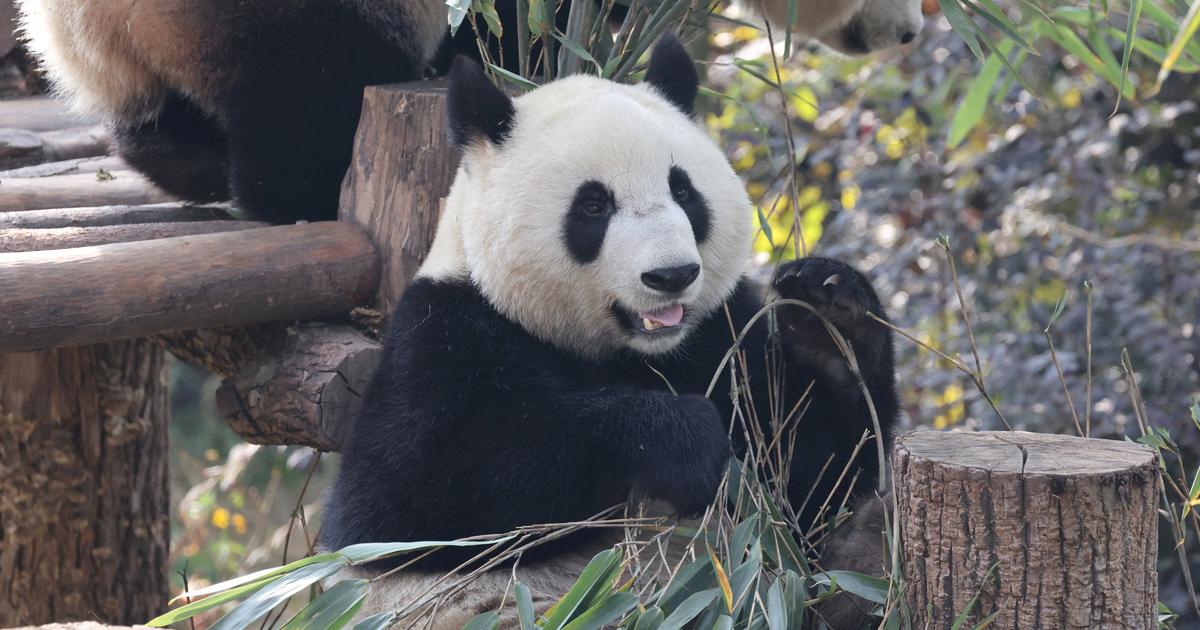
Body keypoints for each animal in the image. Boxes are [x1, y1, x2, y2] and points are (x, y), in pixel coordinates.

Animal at [319, 34, 900, 629]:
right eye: (593, 206)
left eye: (684, 192)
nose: (672, 275)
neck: (629, 352)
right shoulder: (446, 331)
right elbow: (409, 499)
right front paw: (682, 438)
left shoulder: (720, 340)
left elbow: (813, 474)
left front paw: (826, 317)